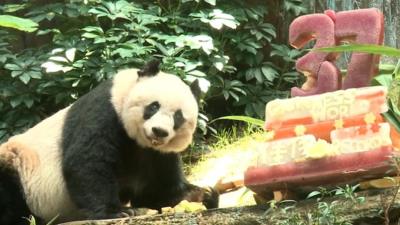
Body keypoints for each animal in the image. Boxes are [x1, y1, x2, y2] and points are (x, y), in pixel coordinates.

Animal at [0, 59, 219, 225]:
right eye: (154, 106)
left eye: (178, 116)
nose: (159, 131)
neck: (138, 140)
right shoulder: (105, 110)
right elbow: (88, 162)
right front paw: (117, 212)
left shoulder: (156, 153)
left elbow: (156, 188)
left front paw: (202, 195)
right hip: (20, 167)